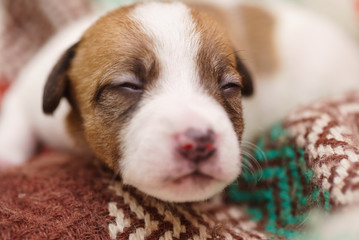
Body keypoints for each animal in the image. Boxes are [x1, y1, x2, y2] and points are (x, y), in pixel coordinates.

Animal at [0, 0, 359, 202]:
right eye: (127, 85)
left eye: (229, 86)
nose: (199, 142)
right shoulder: (28, 92)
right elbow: (14, 114)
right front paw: (8, 158)